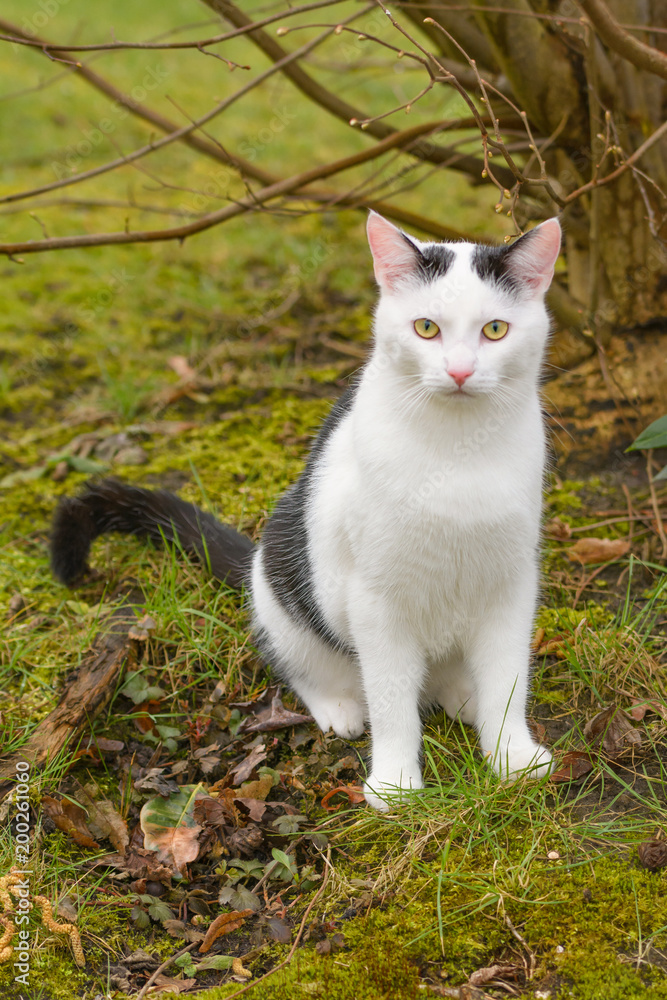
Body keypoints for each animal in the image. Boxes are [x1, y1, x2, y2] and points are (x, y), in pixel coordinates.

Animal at [49, 207, 560, 808]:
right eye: (426, 328)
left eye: (495, 330)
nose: (459, 371)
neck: (457, 452)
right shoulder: (374, 599)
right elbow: (391, 697)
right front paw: (395, 783)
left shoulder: (512, 584)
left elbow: (507, 680)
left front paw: (511, 755)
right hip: (281, 586)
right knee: (305, 663)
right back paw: (341, 705)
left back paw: (464, 696)